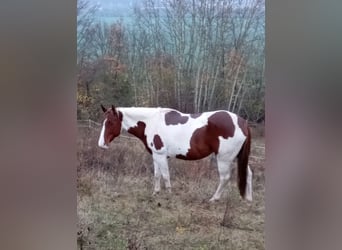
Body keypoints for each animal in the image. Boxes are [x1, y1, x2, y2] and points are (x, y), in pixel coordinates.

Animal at [97, 104, 252, 202]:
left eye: (110, 122)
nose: (101, 144)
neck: (151, 122)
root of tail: (243, 122)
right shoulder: (156, 156)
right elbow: (157, 175)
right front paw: (156, 193)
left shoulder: (160, 155)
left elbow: (165, 176)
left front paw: (168, 195)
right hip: (238, 157)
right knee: (248, 173)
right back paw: (247, 199)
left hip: (224, 159)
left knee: (225, 178)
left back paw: (214, 199)